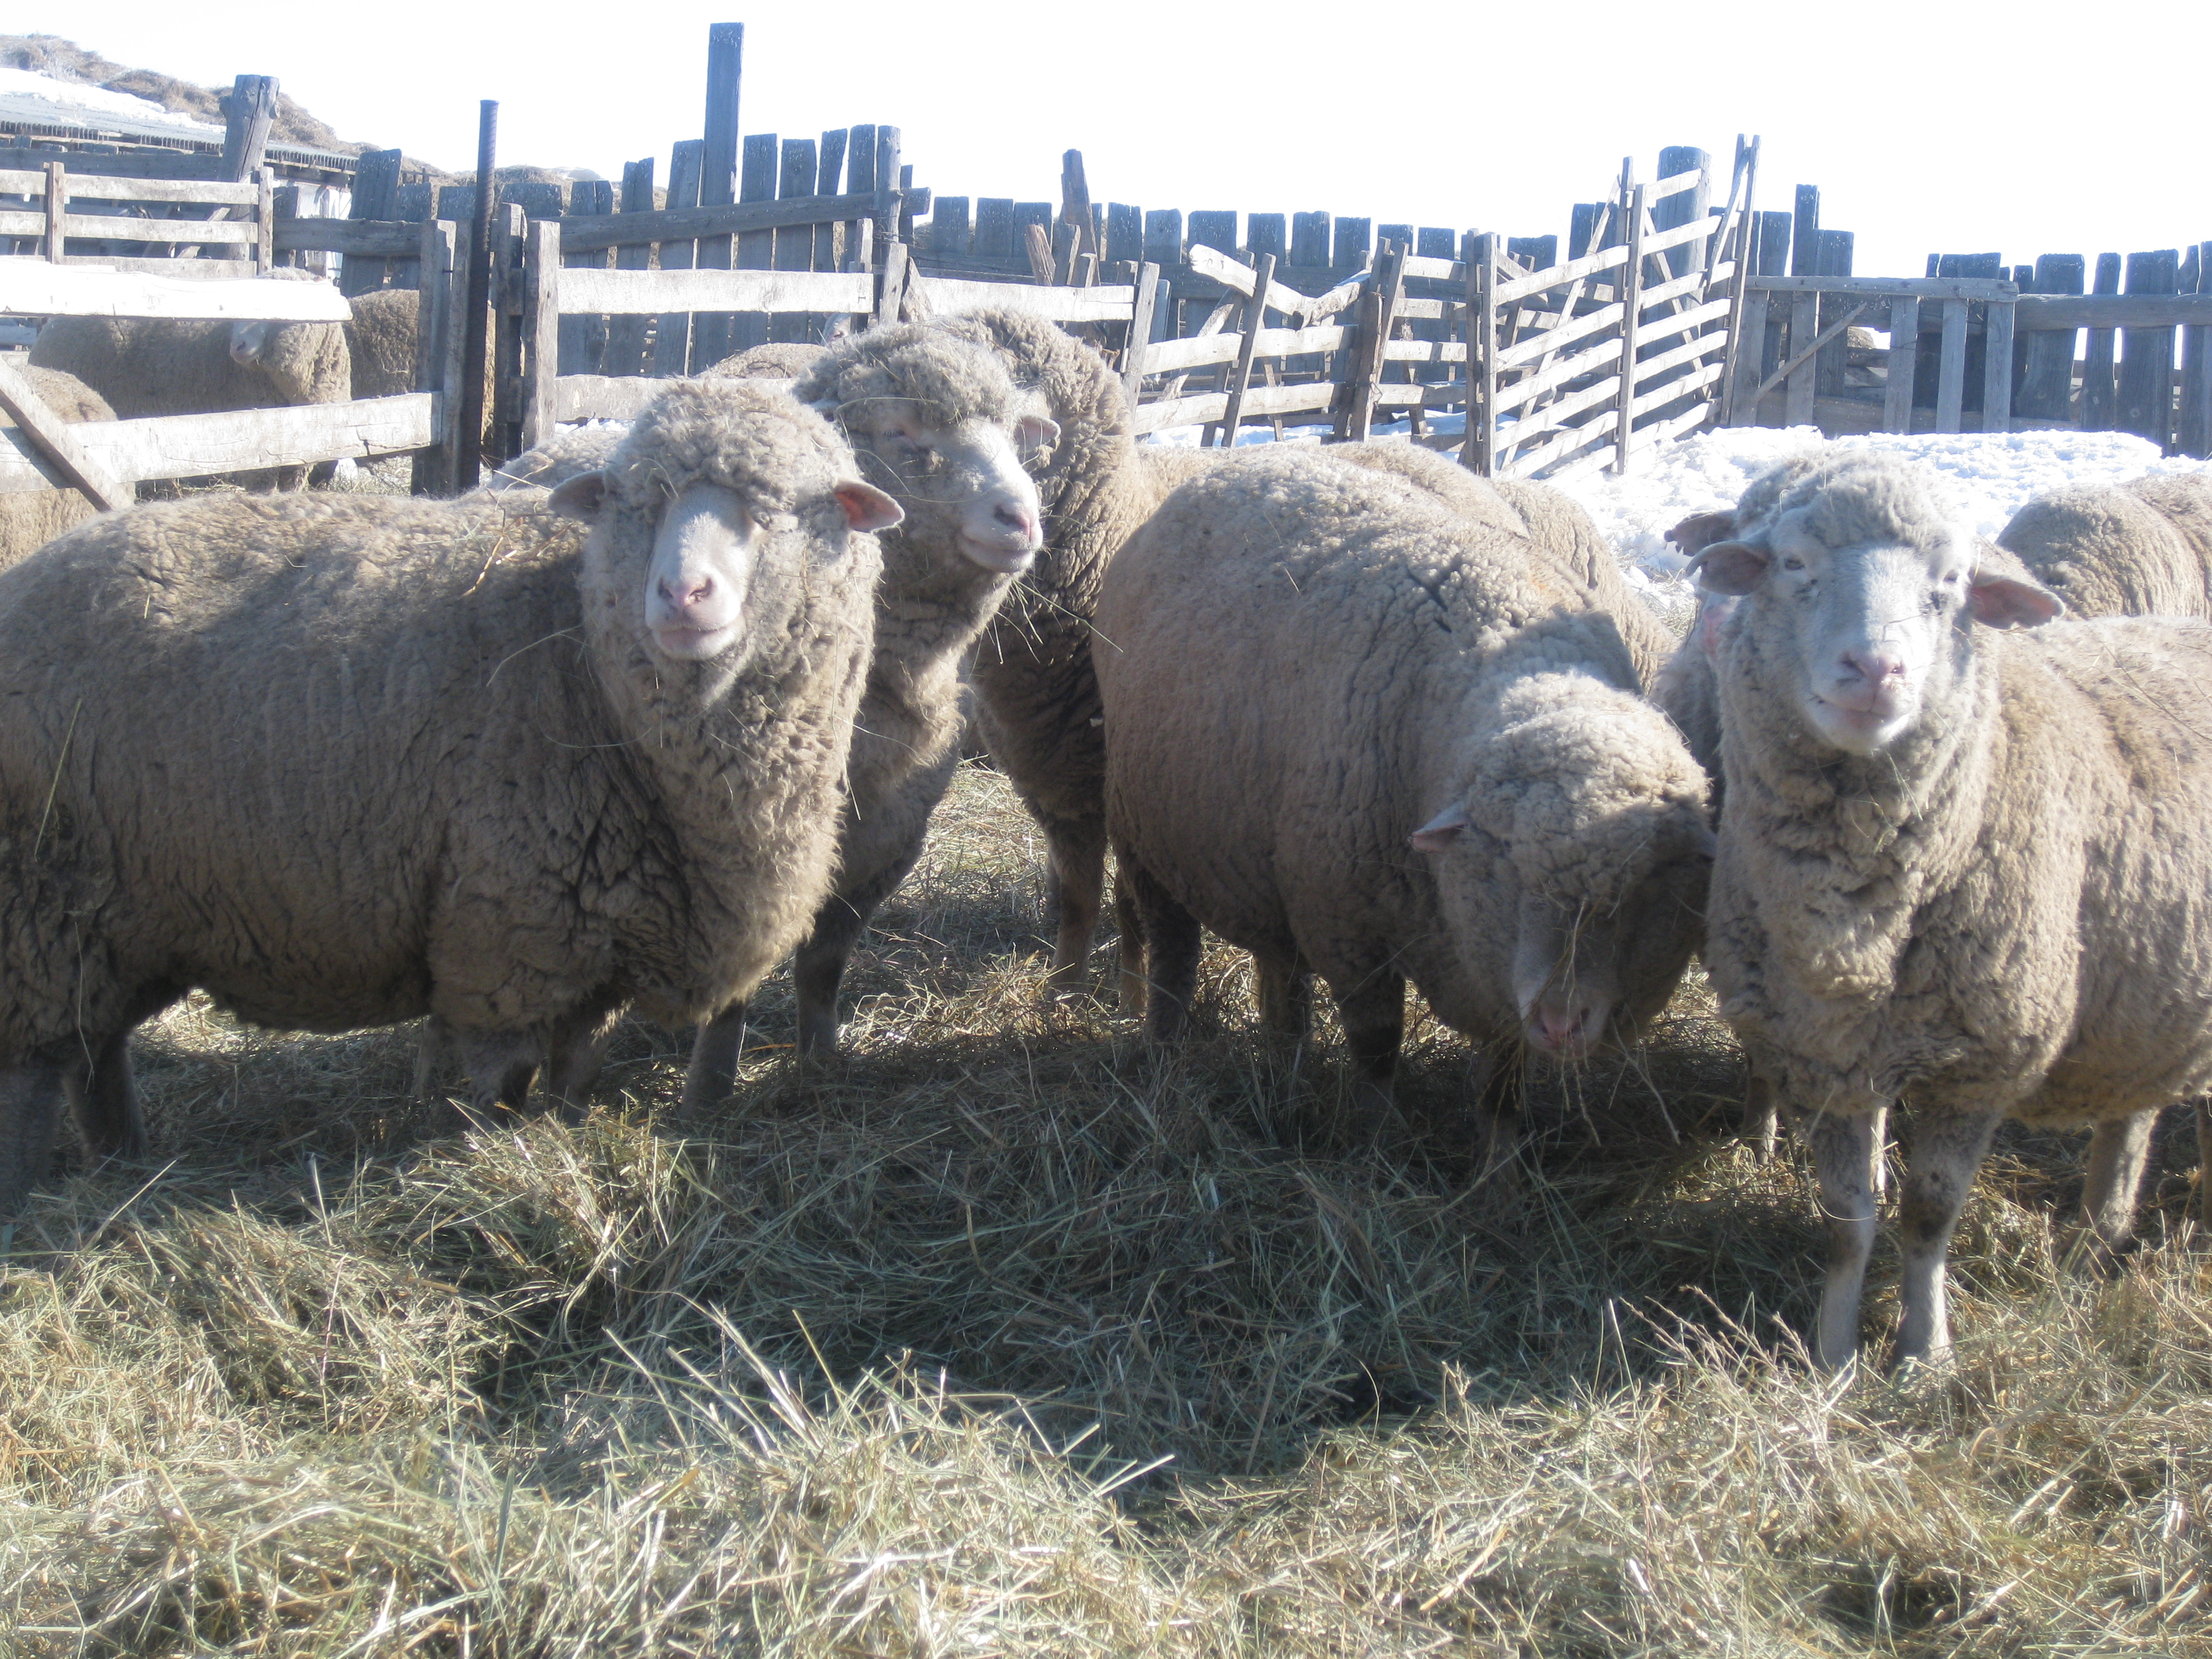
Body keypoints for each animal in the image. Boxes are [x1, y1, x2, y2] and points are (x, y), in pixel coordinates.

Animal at [681, 320, 1062, 1110]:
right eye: (899, 429)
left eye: (1014, 435)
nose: (1021, 517)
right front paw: (708, 1093)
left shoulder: (889, 837)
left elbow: (825, 961)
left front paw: (822, 1063)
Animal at [1101, 449, 1708, 1176]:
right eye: (1507, 872)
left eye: (1650, 890)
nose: (1562, 1022)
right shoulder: (1350, 928)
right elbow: (1378, 1045)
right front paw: (1380, 1143)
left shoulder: (1492, 970)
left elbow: (1504, 1079)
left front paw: (1498, 1172)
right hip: (1146, 838)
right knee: (1174, 954)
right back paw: (1165, 1055)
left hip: (1273, 860)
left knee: (1281, 976)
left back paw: (1284, 1072)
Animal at [1681, 449, 2212, 1371]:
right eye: (1792, 564)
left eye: (1953, 582)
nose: (1876, 670)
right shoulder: (1830, 1053)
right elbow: (1846, 1223)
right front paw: (1832, 1355)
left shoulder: (1980, 1062)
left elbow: (1929, 1217)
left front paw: (1925, 1355)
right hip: (2149, 988)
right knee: (2136, 1108)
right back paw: (2099, 1234)